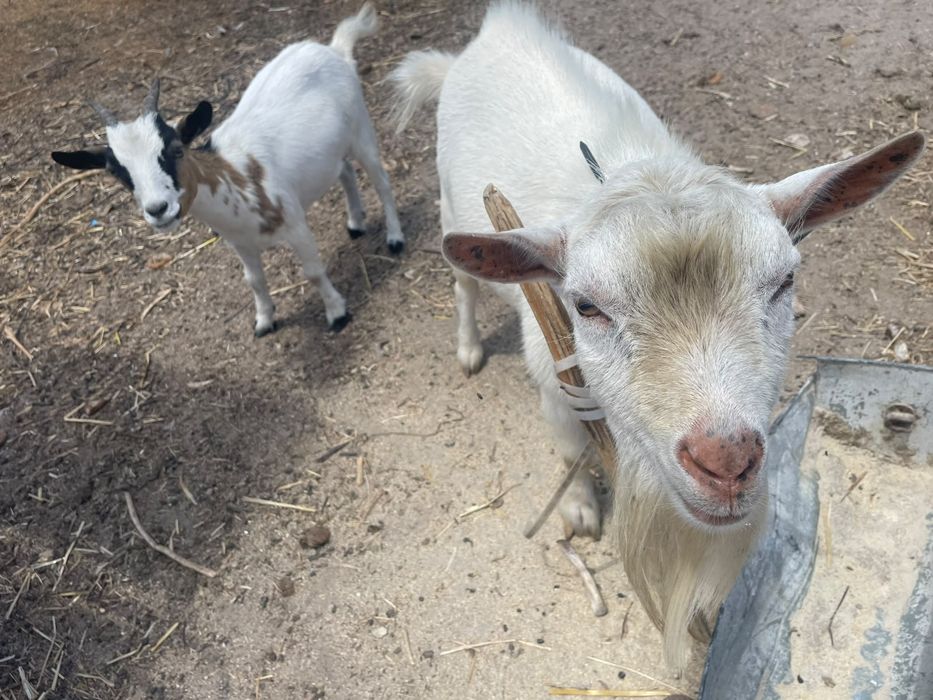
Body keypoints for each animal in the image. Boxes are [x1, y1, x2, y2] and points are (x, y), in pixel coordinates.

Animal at [52, 2, 403, 336]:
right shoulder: (240, 242)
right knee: (344, 172)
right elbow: (254, 281)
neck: (238, 180)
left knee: (382, 181)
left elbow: (313, 271)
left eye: (176, 149)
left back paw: (395, 238)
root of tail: (334, 49)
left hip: (361, 131)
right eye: (115, 171)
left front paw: (337, 313)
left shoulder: (296, 224)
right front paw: (264, 321)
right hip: (332, 150)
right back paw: (355, 223)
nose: (158, 210)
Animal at [391, 1, 925, 668]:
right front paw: (580, 510)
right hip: (447, 202)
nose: (726, 461)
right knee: (462, 283)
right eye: (585, 306)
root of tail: (496, 31)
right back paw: (467, 349)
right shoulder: (552, 376)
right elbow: (566, 448)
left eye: (784, 282)